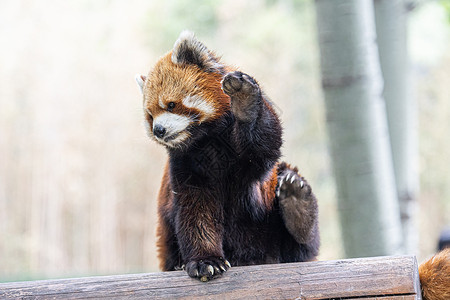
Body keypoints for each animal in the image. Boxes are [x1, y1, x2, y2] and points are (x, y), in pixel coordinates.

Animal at [135, 31, 318, 282]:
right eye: (150, 116)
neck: (207, 139)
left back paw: (297, 205)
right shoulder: (187, 165)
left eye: (171, 105)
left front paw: (246, 101)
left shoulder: (251, 158)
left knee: (300, 240)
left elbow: (263, 144)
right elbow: (196, 210)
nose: (159, 130)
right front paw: (206, 262)